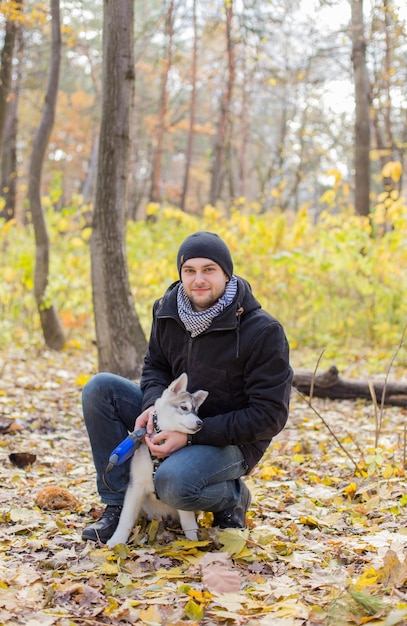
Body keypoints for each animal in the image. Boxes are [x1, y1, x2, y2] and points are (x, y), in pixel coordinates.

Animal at [107, 372, 207, 544]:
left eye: (197, 412)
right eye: (184, 407)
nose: (200, 423)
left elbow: (188, 521)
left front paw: (193, 540)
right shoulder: (136, 486)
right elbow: (125, 518)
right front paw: (117, 540)